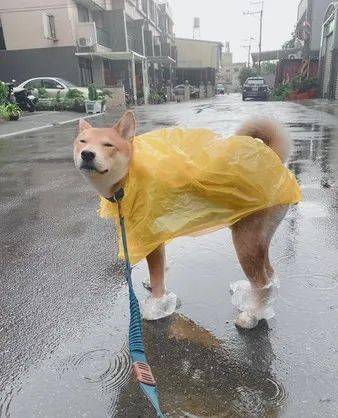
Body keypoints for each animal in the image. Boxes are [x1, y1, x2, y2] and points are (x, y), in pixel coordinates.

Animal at [74, 112, 302, 330]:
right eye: (82, 142)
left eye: (108, 145)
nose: (87, 154)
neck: (130, 176)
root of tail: (273, 158)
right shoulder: (156, 235)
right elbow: (160, 270)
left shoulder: (150, 236)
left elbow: (157, 276)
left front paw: (156, 306)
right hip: (258, 239)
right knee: (269, 275)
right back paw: (252, 300)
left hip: (246, 241)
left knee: (262, 282)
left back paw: (252, 316)